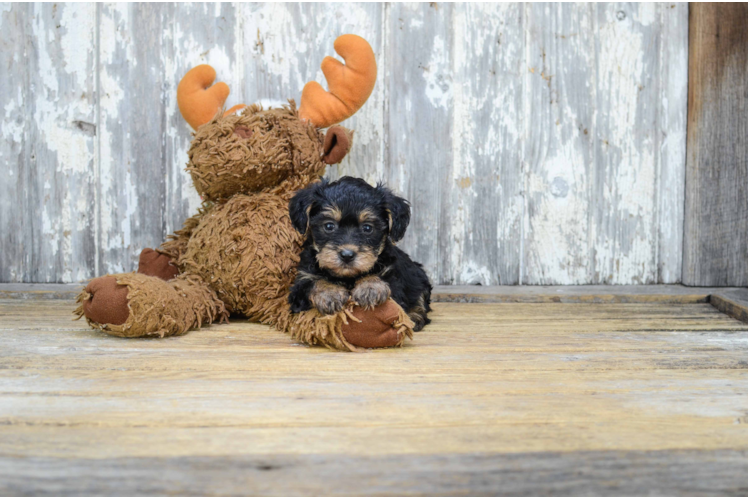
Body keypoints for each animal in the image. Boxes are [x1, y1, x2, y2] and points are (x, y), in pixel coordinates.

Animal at [290, 177, 436, 332]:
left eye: (367, 228)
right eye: (329, 226)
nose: (347, 255)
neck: (347, 277)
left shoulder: (393, 277)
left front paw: (370, 287)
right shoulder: (300, 284)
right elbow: (313, 283)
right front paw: (329, 293)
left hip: (418, 275)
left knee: (420, 298)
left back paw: (413, 318)